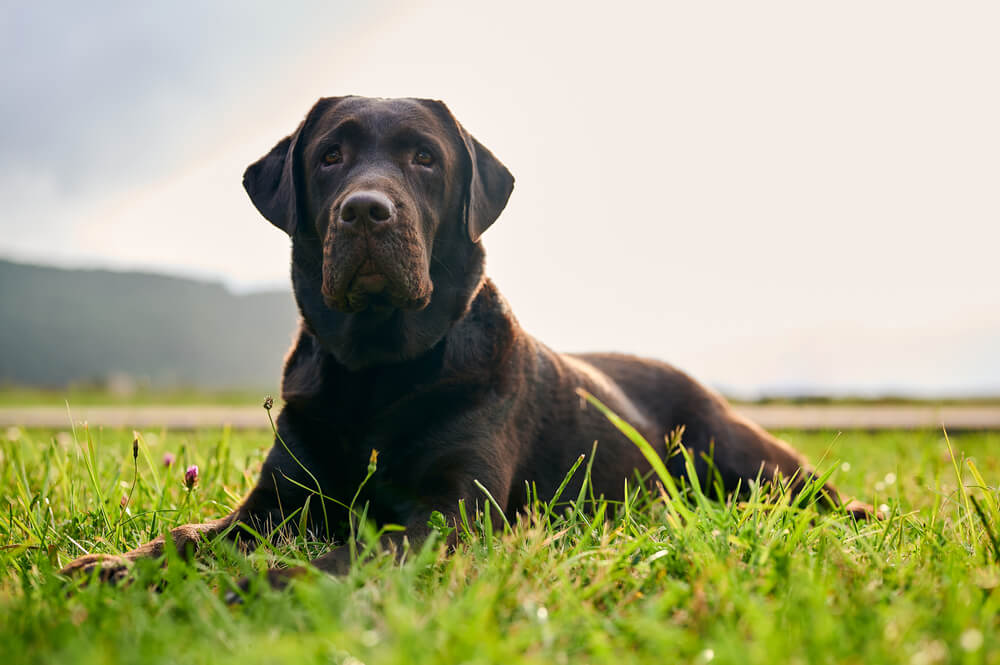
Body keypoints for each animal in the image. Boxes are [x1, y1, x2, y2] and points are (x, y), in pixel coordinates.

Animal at [64, 94, 876, 588]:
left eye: (425, 158)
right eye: (329, 156)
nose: (366, 211)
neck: (377, 370)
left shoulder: (452, 509)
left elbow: (349, 552)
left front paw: (258, 584)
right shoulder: (272, 503)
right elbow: (189, 532)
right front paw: (117, 565)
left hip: (743, 454)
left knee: (811, 490)